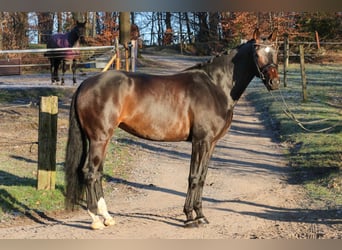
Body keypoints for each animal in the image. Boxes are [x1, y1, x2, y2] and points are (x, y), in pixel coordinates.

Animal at [64, 28, 280, 229]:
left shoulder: (211, 144)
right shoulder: (201, 141)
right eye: (257, 53)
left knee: (97, 173)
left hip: (102, 139)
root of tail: (86, 84)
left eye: (276, 52)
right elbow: (193, 177)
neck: (215, 86)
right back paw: (96, 220)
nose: (274, 82)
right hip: (99, 138)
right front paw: (190, 217)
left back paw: (107, 217)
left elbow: (203, 177)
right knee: (90, 173)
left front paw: (201, 215)